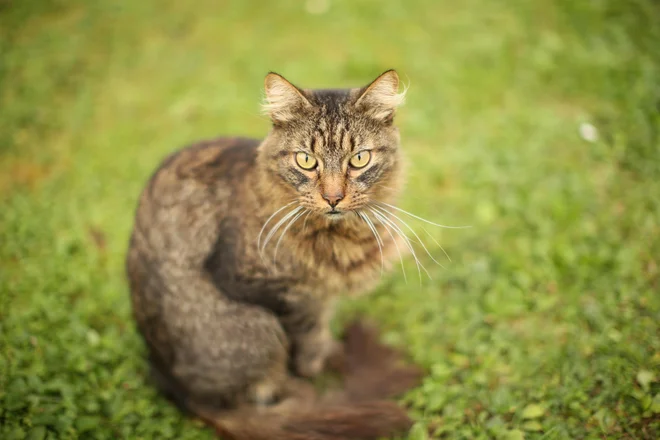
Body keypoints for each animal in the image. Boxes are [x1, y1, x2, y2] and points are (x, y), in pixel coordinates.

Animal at [125, 70, 420, 438]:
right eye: (306, 161)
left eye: (359, 159)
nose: (333, 198)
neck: (337, 234)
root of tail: (181, 393)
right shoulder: (271, 288)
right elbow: (308, 332)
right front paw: (314, 367)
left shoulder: (321, 292)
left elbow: (321, 325)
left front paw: (331, 354)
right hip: (255, 327)